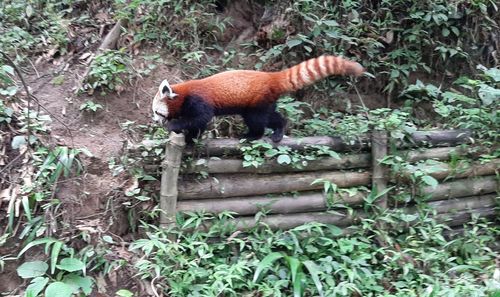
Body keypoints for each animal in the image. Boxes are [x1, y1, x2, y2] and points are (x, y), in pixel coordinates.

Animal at [151, 55, 364, 143]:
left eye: (156, 112)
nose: (154, 121)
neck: (183, 94)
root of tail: (271, 77)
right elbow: (198, 124)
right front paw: (191, 139)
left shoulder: (198, 101)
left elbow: (199, 118)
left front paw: (175, 127)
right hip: (263, 101)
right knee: (270, 116)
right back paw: (276, 130)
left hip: (258, 101)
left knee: (258, 120)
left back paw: (255, 135)